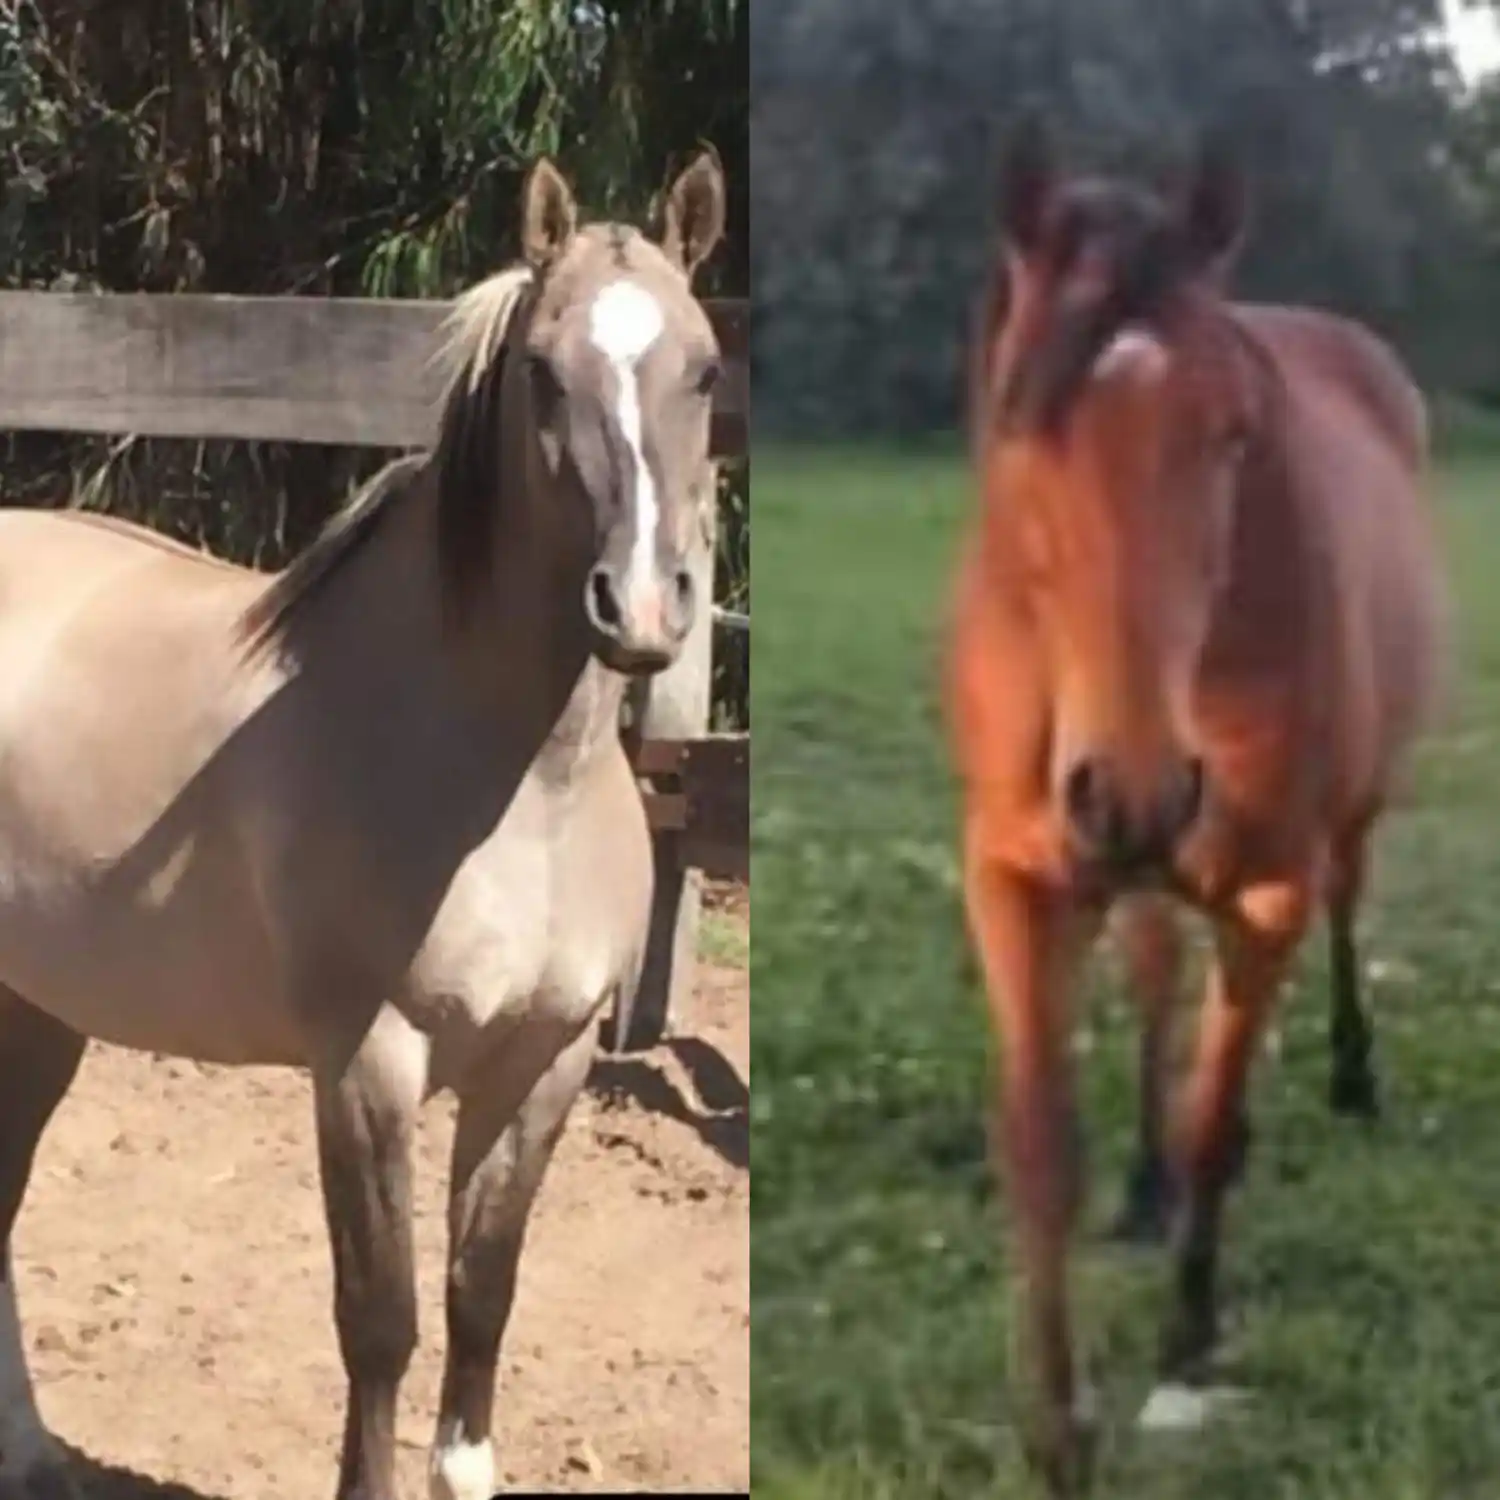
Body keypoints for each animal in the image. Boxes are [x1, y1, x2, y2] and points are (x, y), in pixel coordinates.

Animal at [0, 147, 727, 1500]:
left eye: (705, 368)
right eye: (543, 372)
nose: (645, 609)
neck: (509, 785)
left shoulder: (545, 1061)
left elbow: (482, 1292)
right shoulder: (367, 1065)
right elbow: (380, 1320)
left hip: (40, 1007)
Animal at [948, 120, 1445, 1493]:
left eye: (1231, 435)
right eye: (1022, 420)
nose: (1131, 785)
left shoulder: (1264, 889)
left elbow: (1217, 1117)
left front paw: (1185, 1341)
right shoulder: (1014, 876)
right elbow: (1040, 1144)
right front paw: (1058, 1427)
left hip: (1338, 817)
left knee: (1345, 899)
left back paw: (1349, 1077)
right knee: (1159, 962)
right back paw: (1144, 1182)